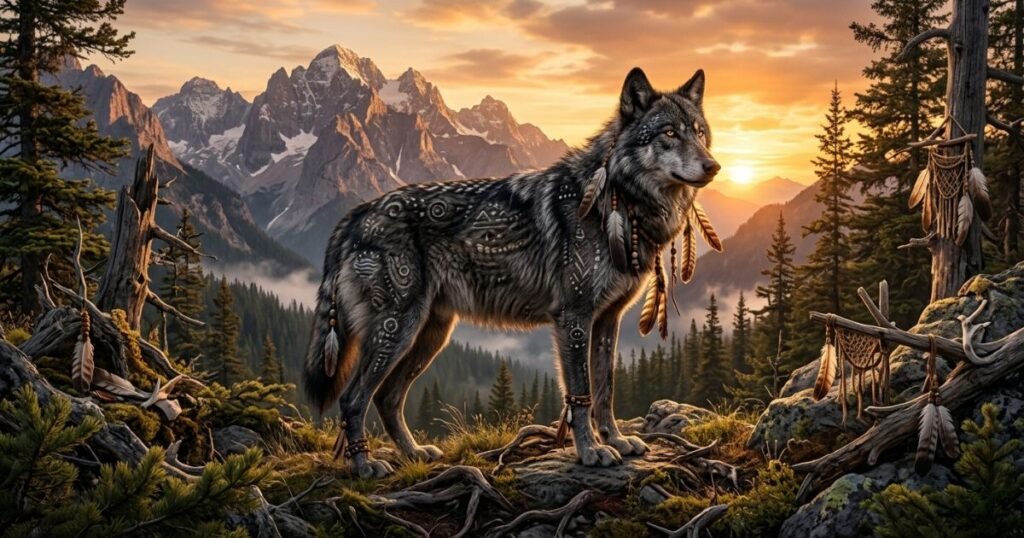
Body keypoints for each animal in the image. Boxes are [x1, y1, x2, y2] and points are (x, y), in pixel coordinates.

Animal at [304, 67, 720, 478]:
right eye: (670, 133)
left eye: (699, 132)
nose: (714, 166)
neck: (619, 200)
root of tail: (356, 214)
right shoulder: (574, 318)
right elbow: (581, 395)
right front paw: (590, 452)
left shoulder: (607, 321)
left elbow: (605, 389)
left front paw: (615, 440)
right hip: (397, 332)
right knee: (353, 399)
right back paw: (364, 466)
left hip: (430, 335)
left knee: (387, 399)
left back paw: (414, 453)